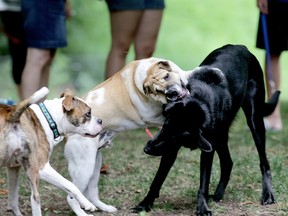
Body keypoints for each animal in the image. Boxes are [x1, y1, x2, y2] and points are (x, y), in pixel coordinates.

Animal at [0, 87, 103, 216]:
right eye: (88, 113)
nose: (101, 121)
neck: (50, 120)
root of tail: (11, 115)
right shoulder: (42, 168)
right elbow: (71, 185)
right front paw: (86, 203)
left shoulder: (13, 167)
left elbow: (13, 200)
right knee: (35, 198)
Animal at [64, 57, 191, 214]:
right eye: (158, 90)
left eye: (167, 76)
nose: (172, 93)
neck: (144, 75)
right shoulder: (151, 116)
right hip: (84, 169)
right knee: (72, 196)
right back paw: (82, 212)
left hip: (95, 165)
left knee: (91, 193)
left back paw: (106, 208)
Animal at [132, 44, 280, 214]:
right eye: (164, 127)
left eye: (175, 136)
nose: (146, 149)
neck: (198, 103)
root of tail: (241, 47)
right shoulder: (171, 150)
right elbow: (157, 179)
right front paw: (145, 204)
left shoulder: (205, 149)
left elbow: (204, 181)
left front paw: (202, 207)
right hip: (222, 135)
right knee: (228, 162)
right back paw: (218, 195)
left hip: (254, 120)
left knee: (264, 162)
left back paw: (268, 194)